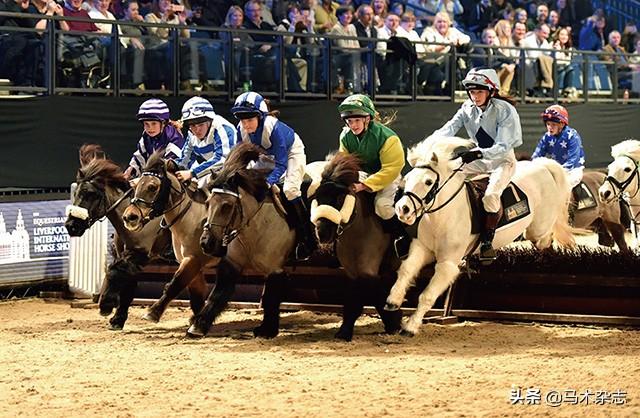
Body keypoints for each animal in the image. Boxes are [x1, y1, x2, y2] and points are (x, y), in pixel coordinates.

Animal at [64, 144, 172, 330]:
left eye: (91, 194)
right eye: (76, 193)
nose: (71, 225)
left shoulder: (140, 254)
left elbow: (113, 271)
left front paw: (106, 304)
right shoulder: (128, 255)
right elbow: (127, 284)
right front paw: (118, 318)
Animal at [310, 152, 400, 342]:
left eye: (339, 198)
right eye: (317, 198)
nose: (322, 233)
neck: (358, 232)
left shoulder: (368, 270)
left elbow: (372, 296)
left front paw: (394, 323)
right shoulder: (352, 271)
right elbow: (354, 300)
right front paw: (344, 331)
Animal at [384, 137, 576, 336]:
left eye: (429, 182)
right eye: (407, 179)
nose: (403, 209)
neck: (443, 215)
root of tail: (541, 165)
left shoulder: (447, 264)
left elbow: (427, 296)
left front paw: (411, 326)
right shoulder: (422, 248)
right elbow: (406, 270)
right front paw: (393, 300)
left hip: (538, 228)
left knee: (546, 237)